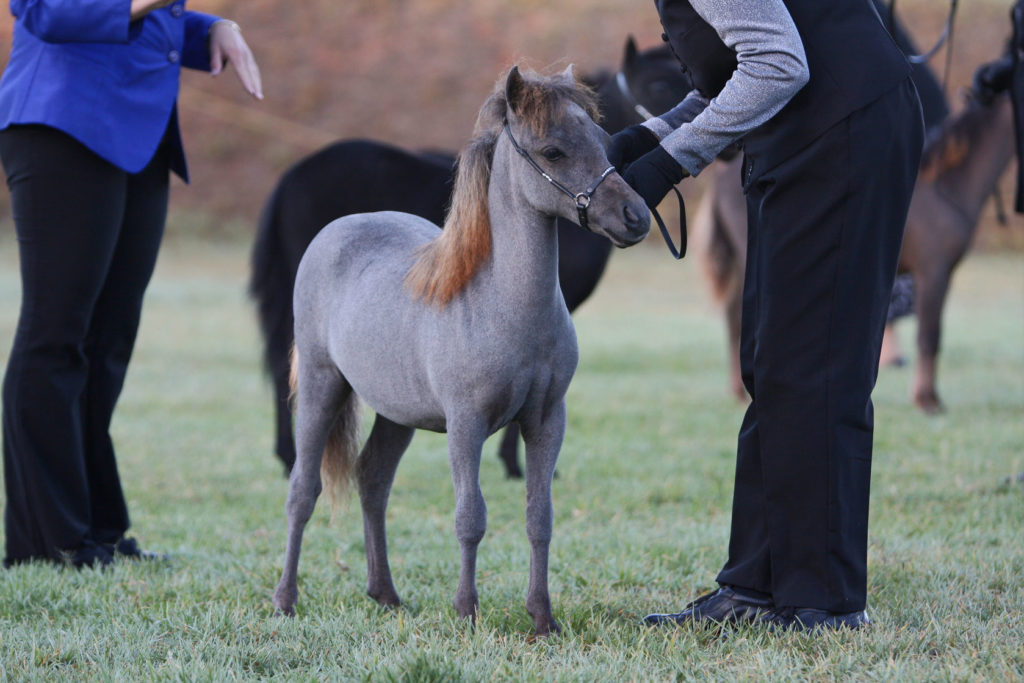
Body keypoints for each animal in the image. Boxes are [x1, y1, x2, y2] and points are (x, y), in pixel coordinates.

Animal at [246, 37, 688, 479]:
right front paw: (514, 463)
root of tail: (290, 177)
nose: (634, 215)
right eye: (553, 152)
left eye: (602, 139)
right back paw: (289, 456)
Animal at [272, 66, 647, 638]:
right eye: (554, 150)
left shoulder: (546, 420)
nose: (635, 217)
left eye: (606, 141)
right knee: (302, 490)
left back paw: (385, 595)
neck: (501, 306)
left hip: (396, 412)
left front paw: (542, 619)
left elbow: (539, 517)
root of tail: (340, 227)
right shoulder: (466, 423)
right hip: (321, 385)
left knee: (372, 479)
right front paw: (467, 612)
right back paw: (285, 600)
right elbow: (471, 517)